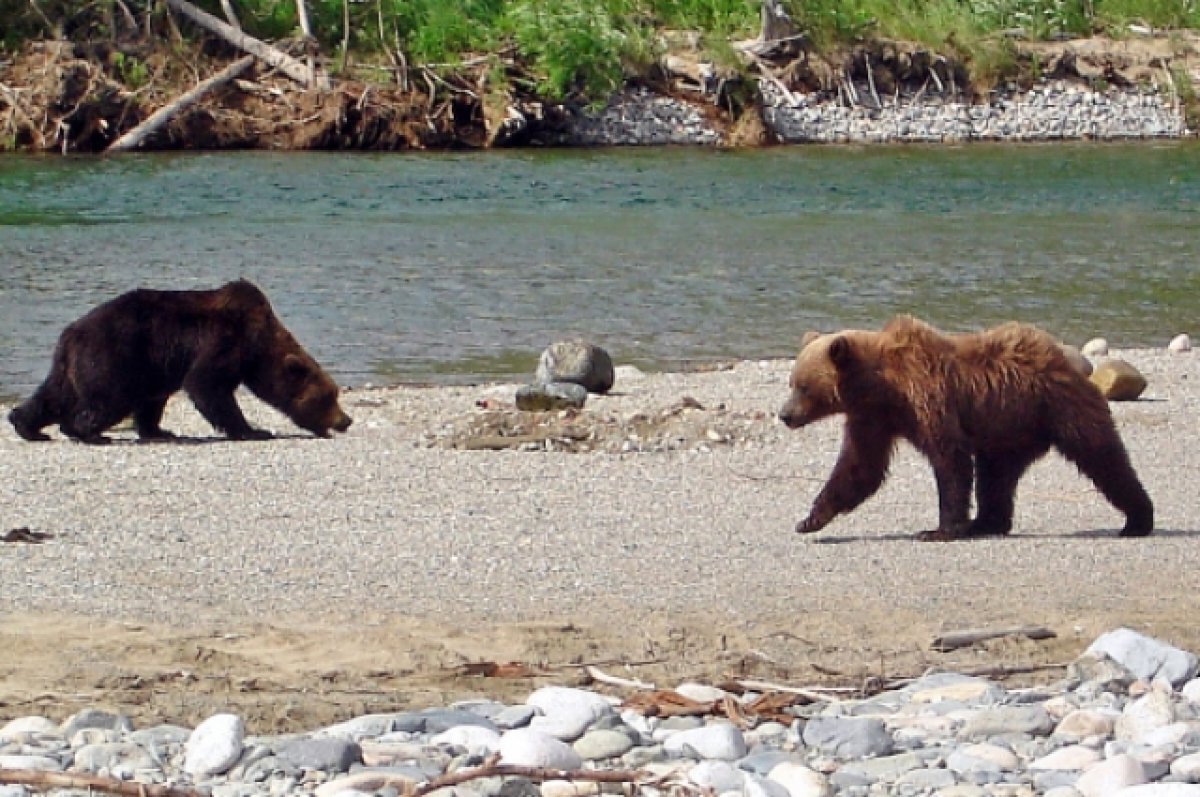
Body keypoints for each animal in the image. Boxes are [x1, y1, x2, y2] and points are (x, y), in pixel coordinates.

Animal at [9, 278, 350, 441]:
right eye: (328, 397)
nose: (346, 420)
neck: (258, 344)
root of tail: (69, 335)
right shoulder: (224, 341)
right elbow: (207, 385)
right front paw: (254, 431)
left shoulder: (157, 368)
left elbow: (153, 400)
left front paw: (159, 431)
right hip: (112, 358)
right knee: (105, 400)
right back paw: (88, 433)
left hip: (73, 366)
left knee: (52, 395)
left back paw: (27, 426)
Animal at [777, 314, 1152, 537]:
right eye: (792, 382)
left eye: (802, 386)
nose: (784, 414)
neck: (881, 387)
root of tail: (1064, 358)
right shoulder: (873, 418)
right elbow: (859, 467)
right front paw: (810, 519)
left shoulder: (927, 397)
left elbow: (949, 459)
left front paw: (939, 529)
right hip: (1007, 429)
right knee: (997, 475)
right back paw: (985, 523)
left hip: (1058, 408)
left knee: (1102, 457)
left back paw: (1138, 520)